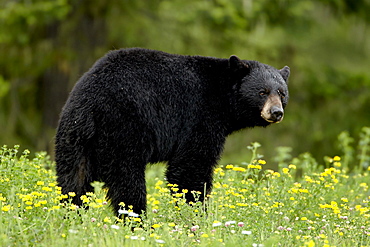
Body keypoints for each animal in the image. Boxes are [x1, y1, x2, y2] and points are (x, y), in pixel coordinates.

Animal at [55, 47, 290, 216]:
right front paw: (195, 213)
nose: (276, 112)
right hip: (123, 129)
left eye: (281, 93)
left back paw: (73, 218)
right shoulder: (199, 116)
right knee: (127, 181)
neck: (223, 98)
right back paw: (137, 221)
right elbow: (190, 167)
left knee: (73, 179)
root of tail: (90, 102)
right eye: (262, 92)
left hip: (73, 136)